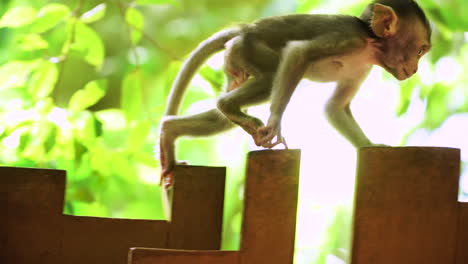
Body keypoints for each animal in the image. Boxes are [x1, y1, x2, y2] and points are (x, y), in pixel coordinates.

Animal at [160, 0, 432, 186]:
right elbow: (299, 52)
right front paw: (275, 122)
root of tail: (245, 28)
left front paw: (369, 145)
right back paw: (228, 106)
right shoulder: (349, 39)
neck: (370, 42)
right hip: (249, 49)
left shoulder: (363, 67)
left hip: (234, 61)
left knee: (222, 118)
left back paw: (170, 131)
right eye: (420, 50)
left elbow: (335, 107)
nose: (415, 69)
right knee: (270, 77)